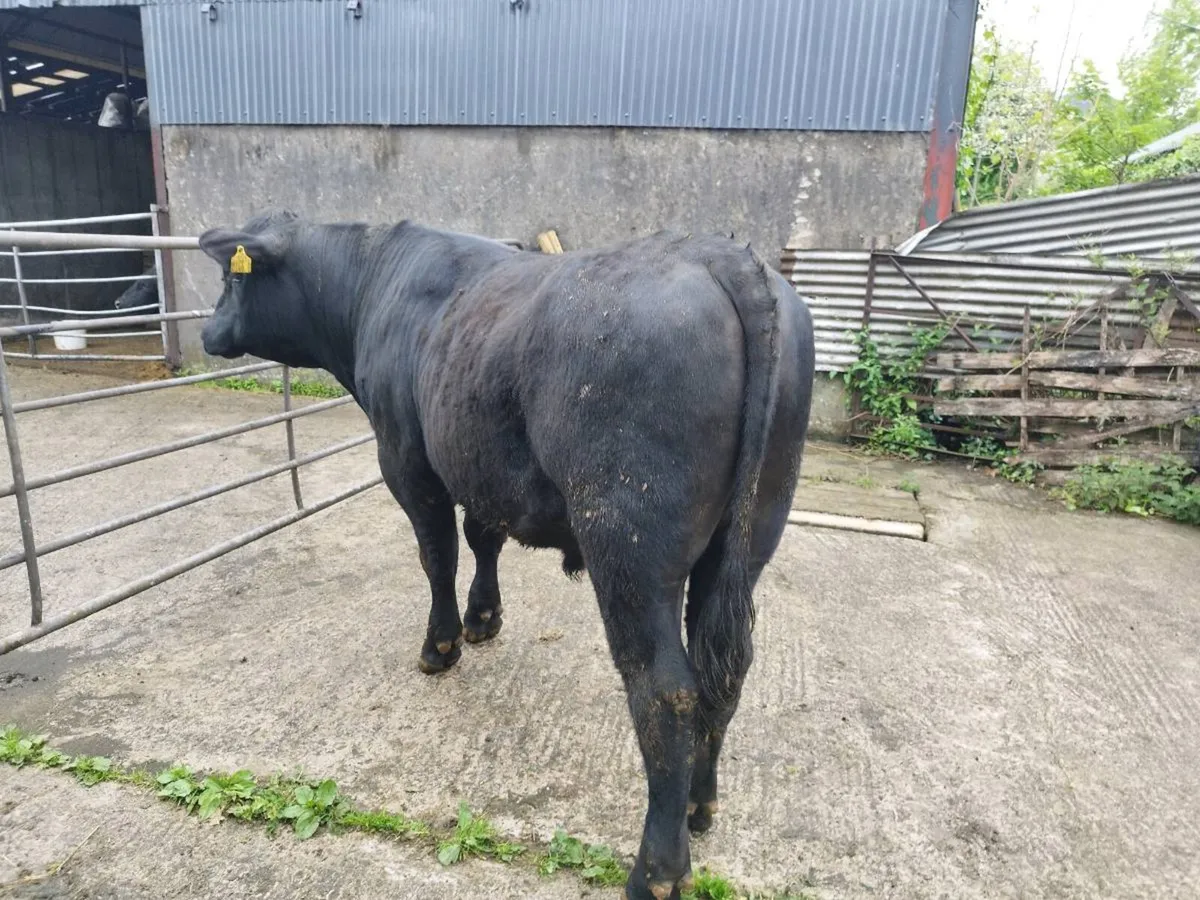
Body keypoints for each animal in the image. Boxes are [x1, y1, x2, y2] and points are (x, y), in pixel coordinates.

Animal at [197, 211, 814, 900]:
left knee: (666, 691)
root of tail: (724, 256)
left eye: (232, 277)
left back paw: (656, 868)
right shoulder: (480, 466)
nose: (206, 331)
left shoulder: (408, 461)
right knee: (722, 673)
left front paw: (440, 645)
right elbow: (482, 539)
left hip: (629, 546)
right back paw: (699, 806)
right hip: (746, 541)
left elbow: (437, 555)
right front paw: (484, 619)